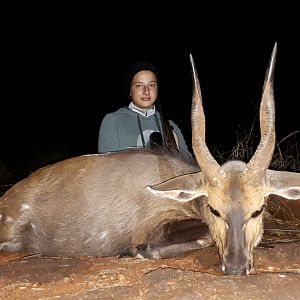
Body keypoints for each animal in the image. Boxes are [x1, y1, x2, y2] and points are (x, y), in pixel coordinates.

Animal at [0, 42, 298, 274]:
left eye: (258, 210)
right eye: (215, 209)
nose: (236, 268)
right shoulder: (151, 227)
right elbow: (204, 235)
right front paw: (136, 251)